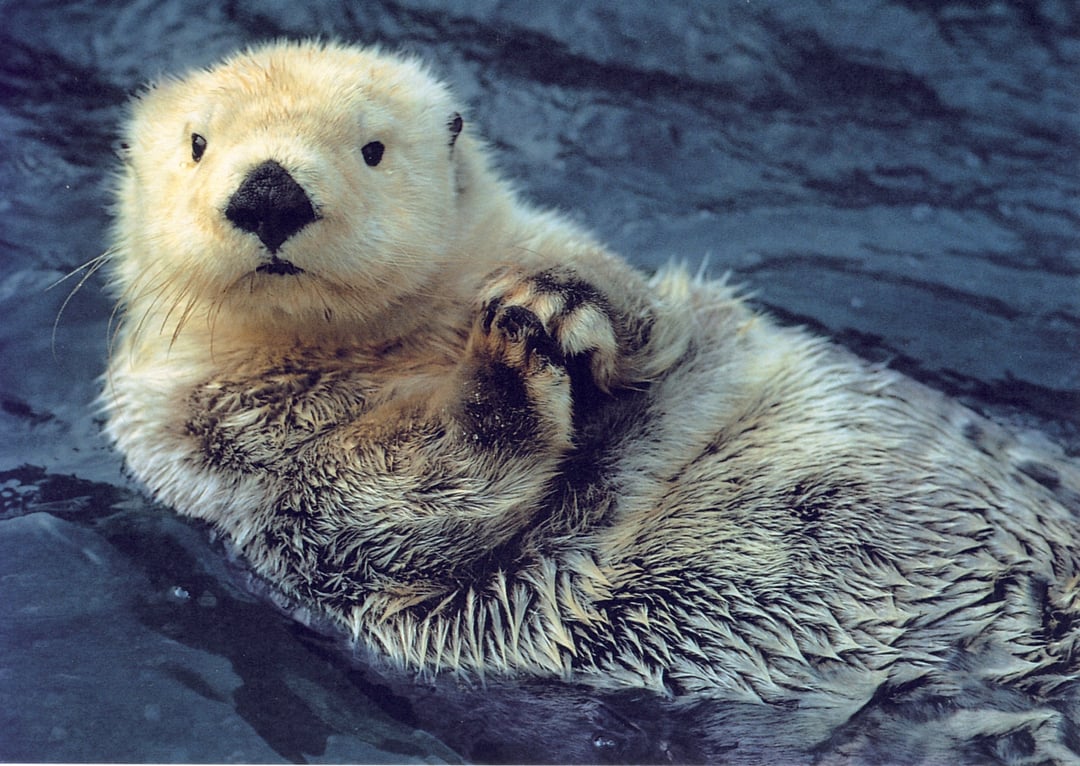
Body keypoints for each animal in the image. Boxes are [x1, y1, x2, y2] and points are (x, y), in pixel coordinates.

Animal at [103, 40, 1080, 762]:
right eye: (198, 143)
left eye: (372, 148)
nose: (270, 190)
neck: (387, 353)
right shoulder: (218, 452)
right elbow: (388, 504)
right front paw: (506, 364)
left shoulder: (614, 290)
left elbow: (651, 322)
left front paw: (560, 303)